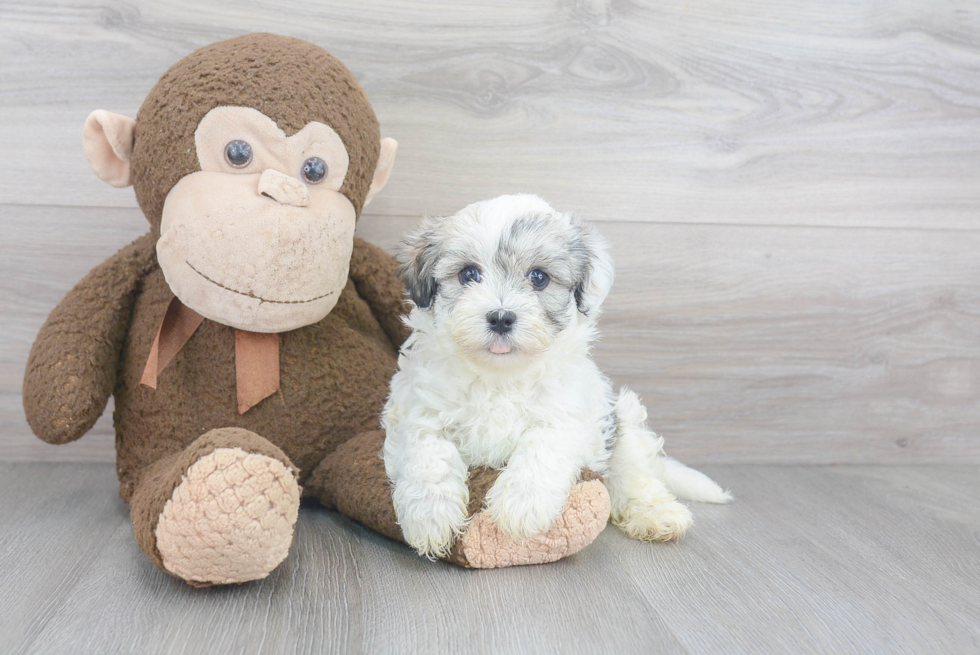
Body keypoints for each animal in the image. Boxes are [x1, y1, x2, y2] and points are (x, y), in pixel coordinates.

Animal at [380, 193, 728, 560]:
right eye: (469, 274)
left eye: (538, 278)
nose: (501, 317)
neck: (499, 376)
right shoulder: (419, 410)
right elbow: (428, 455)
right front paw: (430, 517)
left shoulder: (566, 414)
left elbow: (541, 448)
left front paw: (520, 505)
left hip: (623, 423)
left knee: (635, 476)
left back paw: (657, 515)